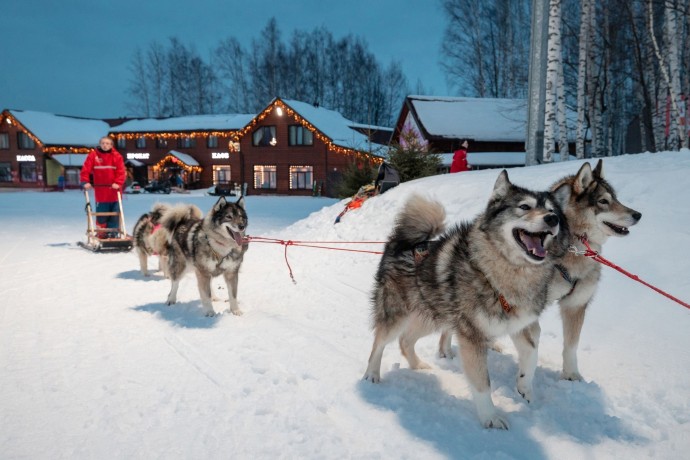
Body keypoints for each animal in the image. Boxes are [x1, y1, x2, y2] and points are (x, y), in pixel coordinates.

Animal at [360, 171, 568, 430]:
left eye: (552, 210)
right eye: (524, 207)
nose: (552, 219)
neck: (504, 274)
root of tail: (403, 244)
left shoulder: (521, 326)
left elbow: (531, 355)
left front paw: (524, 388)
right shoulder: (472, 337)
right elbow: (482, 383)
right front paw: (490, 417)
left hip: (433, 318)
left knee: (405, 341)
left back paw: (418, 365)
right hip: (398, 316)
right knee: (379, 342)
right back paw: (372, 374)